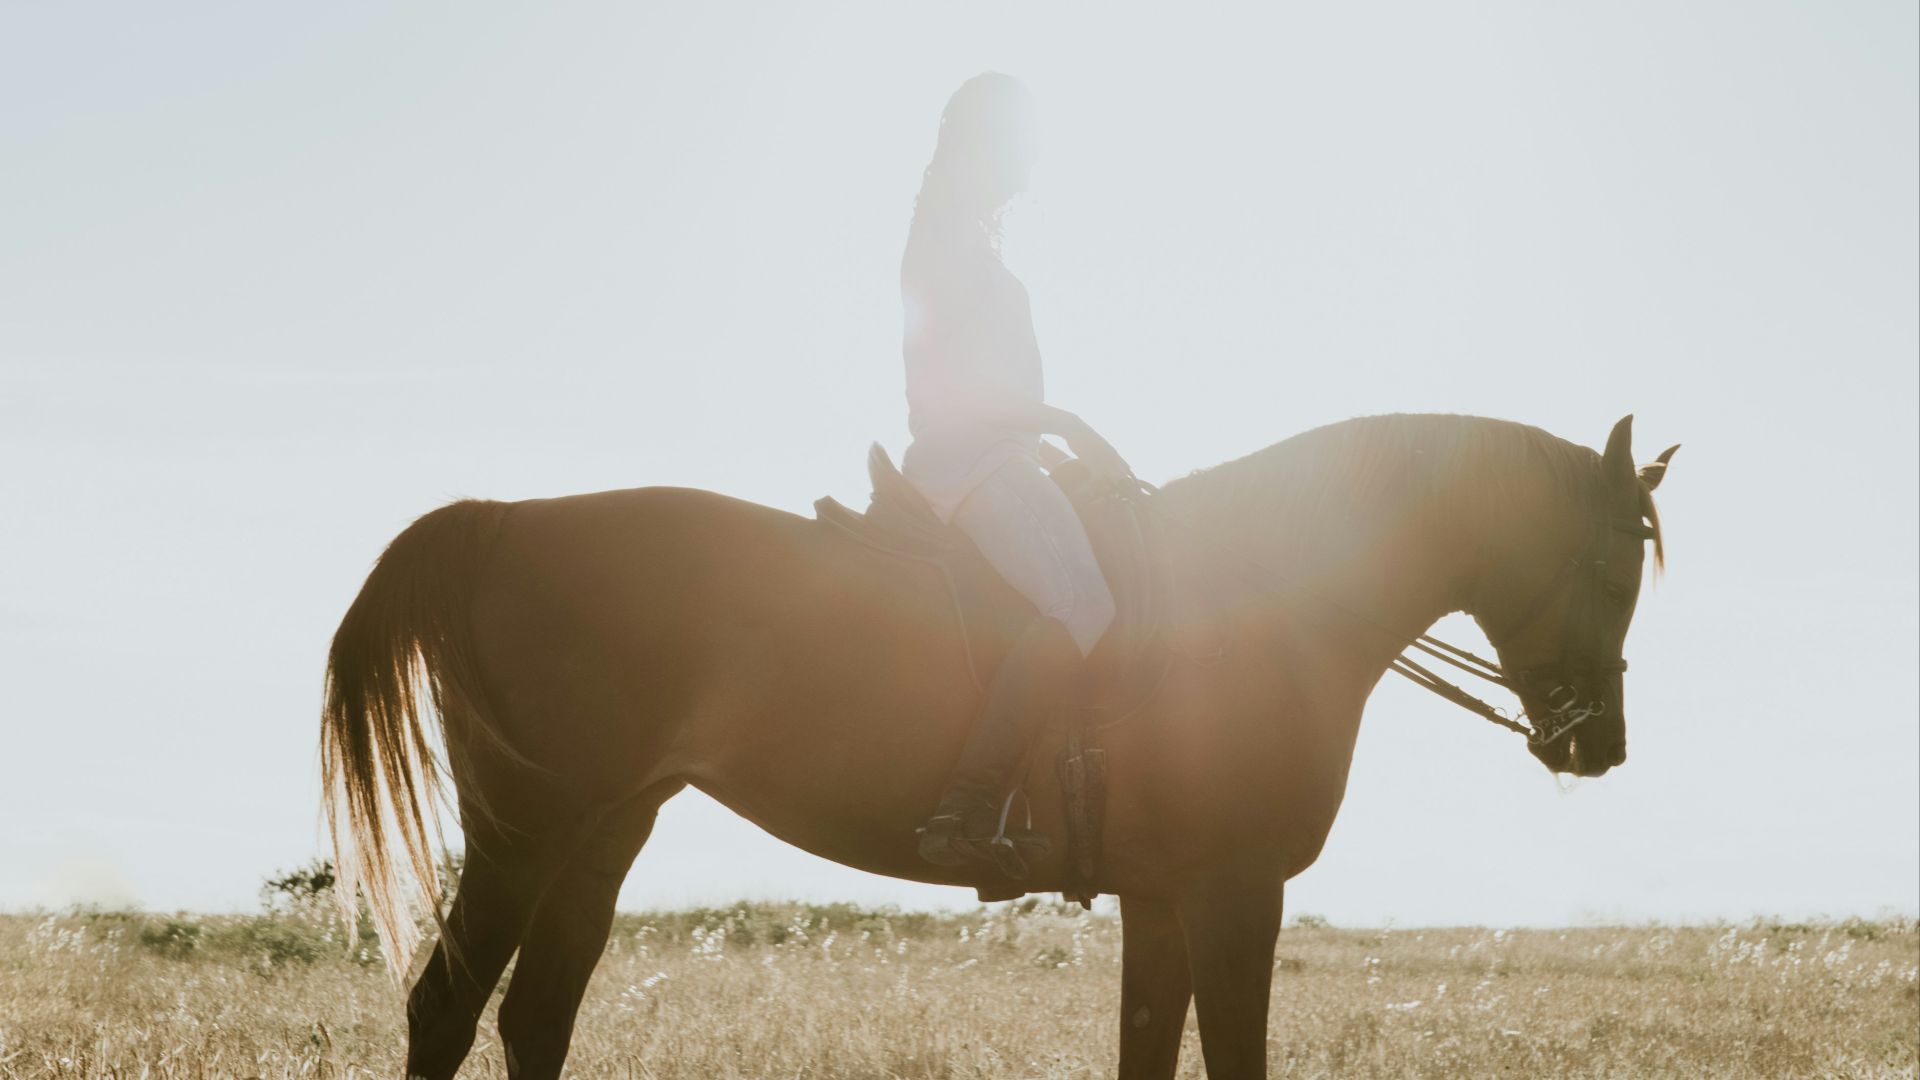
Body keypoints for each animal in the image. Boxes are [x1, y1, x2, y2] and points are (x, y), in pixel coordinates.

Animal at [320, 411, 1677, 1079]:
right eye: (1616, 563)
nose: (1596, 745)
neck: (1256, 596)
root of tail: (504, 522)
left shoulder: (1163, 901)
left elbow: (1148, 1055)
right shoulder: (1232, 895)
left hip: (601, 836)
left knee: (532, 1020)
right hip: (525, 832)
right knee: (445, 1008)